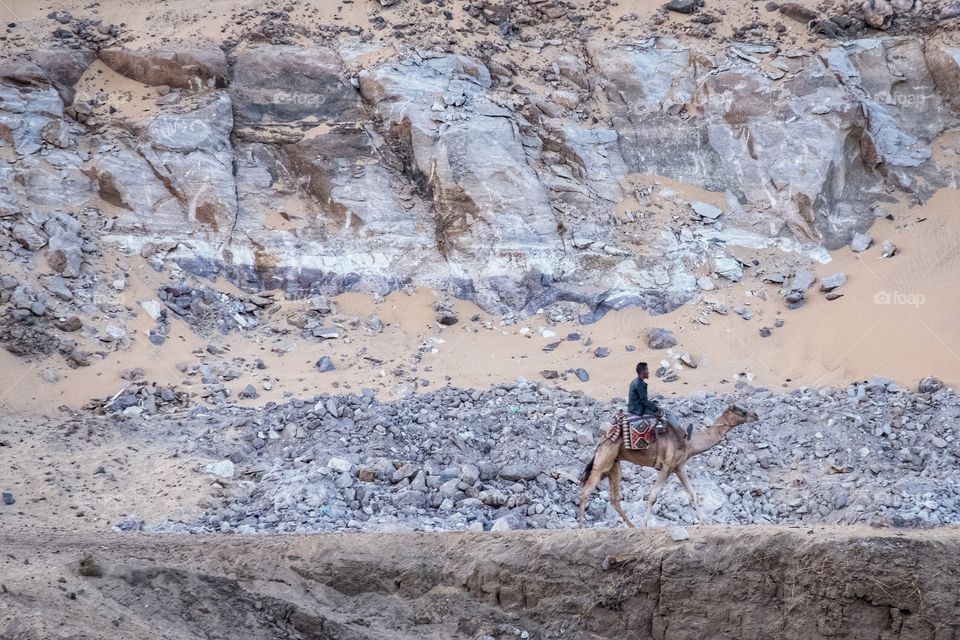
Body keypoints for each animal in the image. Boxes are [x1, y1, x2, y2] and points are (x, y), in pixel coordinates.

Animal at [577, 404, 760, 528]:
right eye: (742, 412)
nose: (756, 415)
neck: (689, 442)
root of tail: (602, 440)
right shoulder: (666, 466)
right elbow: (652, 496)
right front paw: (645, 526)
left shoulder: (678, 467)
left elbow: (692, 495)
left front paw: (705, 523)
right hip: (604, 460)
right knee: (585, 492)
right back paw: (581, 527)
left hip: (614, 465)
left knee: (614, 499)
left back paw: (631, 527)